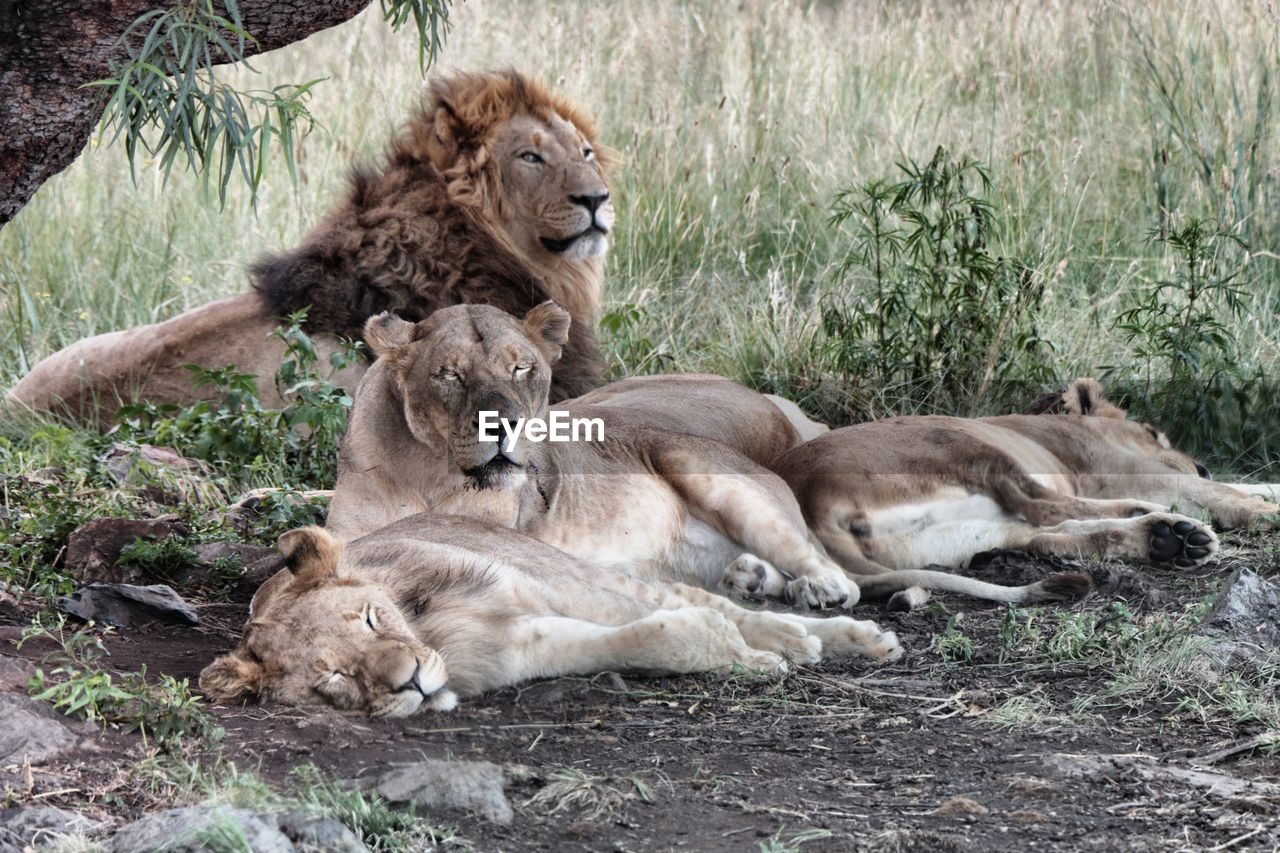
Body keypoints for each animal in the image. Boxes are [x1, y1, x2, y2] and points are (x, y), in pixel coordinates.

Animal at [199, 514, 901, 712]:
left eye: (372, 618)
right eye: (336, 678)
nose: (413, 683)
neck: (428, 629)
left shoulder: (558, 593)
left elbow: (696, 620)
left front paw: (751, 652)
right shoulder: (521, 645)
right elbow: (646, 640)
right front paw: (729, 654)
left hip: (576, 570)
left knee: (720, 602)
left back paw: (836, 637)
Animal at [322, 302, 1090, 607]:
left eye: (522, 370)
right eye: (450, 374)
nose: (502, 422)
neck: (429, 472)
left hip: (701, 465)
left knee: (836, 577)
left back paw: (805, 586)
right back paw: (753, 581)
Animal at [762, 379, 1274, 604]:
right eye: (1153, 433)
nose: (1203, 462)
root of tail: (809, 498)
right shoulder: (1133, 469)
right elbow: (1221, 490)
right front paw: (1264, 511)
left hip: (967, 531)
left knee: (1051, 534)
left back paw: (1168, 538)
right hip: (958, 442)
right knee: (1048, 510)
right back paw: (1166, 525)